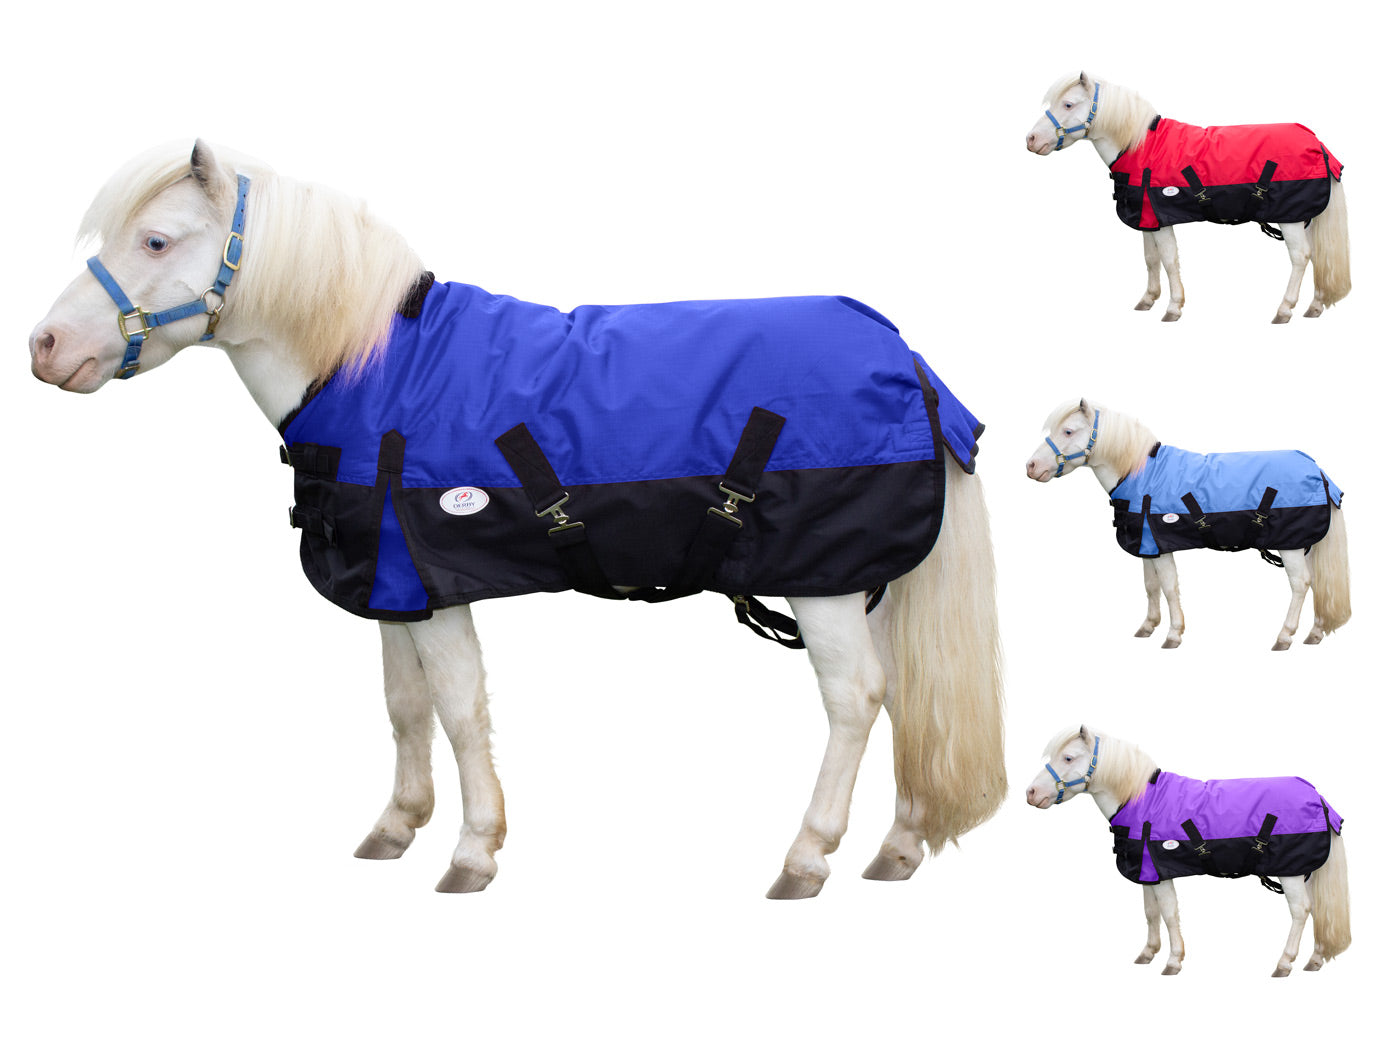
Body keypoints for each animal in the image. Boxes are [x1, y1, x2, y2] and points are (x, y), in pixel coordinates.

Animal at [27, 140, 1006, 898]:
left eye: (156, 239)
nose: (45, 346)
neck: (372, 367)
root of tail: (911, 363)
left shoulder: (433, 579)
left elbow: (459, 707)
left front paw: (471, 852)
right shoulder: (395, 586)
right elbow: (405, 706)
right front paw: (397, 825)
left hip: (821, 582)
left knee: (857, 697)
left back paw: (806, 858)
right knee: (909, 696)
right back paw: (897, 847)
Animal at [1025, 72, 1350, 323]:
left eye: (1068, 104)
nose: (1031, 139)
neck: (1139, 145)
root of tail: (1319, 145)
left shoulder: (1161, 217)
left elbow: (1169, 260)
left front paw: (1173, 307)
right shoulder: (1148, 219)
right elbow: (1151, 259)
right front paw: (1148, 299)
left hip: (1290, 218)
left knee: (1301, 257)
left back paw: (1284, 310)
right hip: (1304, 218)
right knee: (1318, 256)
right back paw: (1314, 306)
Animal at [1025, 399, 1350, 649]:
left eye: (1068, 430)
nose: (1031, 466)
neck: (1139, 473)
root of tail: (1319, 472)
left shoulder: (1160, 544)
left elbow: (1169, 587)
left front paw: (1173, 634)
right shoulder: (1148, 546)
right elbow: (1151, 586)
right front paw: (1148, 626)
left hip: (1289, 545)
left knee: (1301, 584)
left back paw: (1284, 636)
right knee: (1317, 582)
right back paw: (1314, 633)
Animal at [1027, 726, 1351, 977]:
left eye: (1068, 757)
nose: (1031, 793)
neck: (1140, 800)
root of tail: (1319, 799)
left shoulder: (1160, 870)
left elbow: (1169, 913)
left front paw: (1173, 961)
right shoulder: (1148, 873)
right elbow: (1151, 913)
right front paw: (1148, 953)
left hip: (1290, 872)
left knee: (1301, 910)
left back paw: (1284, 963)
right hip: (1304, 872)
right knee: (1319, 910)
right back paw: (1314, 960)